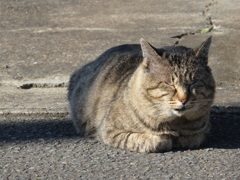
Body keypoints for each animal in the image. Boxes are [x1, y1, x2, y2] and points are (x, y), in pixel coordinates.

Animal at [68, 37, 216, 153]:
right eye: (169, 84)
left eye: (194, 83)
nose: (184, 99)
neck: (175, 123)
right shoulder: (110, 130)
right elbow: (154, 141)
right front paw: (166, 139)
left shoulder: (201, 132)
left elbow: (192, 138)